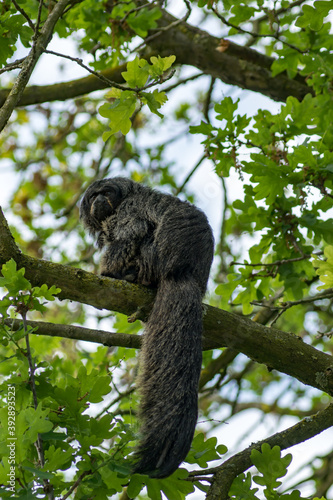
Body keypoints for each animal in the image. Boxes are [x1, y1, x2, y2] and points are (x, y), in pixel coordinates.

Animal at [79, 178, 213, 478]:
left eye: (106, 193)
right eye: (94, 196)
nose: (99, 200)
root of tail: (183, 271)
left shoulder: (127, 210)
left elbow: (132, 231)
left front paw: (108, 270)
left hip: (153, 257)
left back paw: (129, 275)